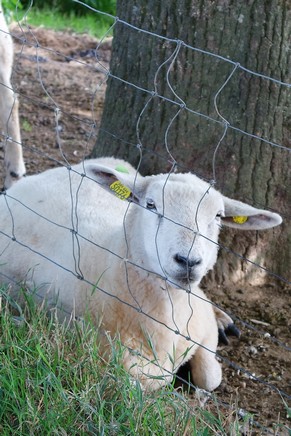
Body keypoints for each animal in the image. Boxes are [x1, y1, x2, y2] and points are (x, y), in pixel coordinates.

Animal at [0, 158, 282, 392]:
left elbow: (210, 378)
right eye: (151, 204)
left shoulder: (201, 325)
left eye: (218, 216)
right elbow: (146, 382)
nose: (188, 261)